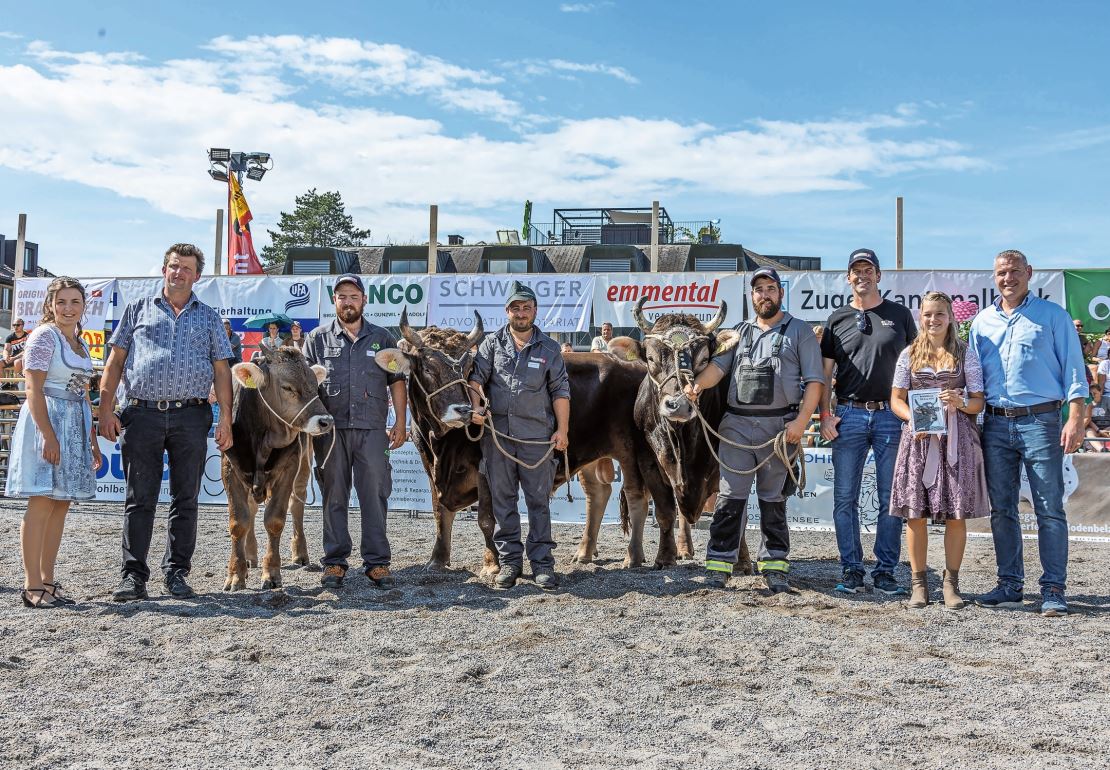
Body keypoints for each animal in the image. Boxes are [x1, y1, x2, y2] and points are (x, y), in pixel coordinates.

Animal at [220, 346, 333, 594]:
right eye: (287, 387)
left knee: (297, 504)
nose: (326, 421)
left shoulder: (289, 467)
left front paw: (271, 573)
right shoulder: (230, 468)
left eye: (315, 385)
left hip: (303, 466)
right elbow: (238, 522)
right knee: (251, 510)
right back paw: (250, 555)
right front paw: (235, 574)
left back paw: (300, 552)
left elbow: (275, 520)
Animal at [634, 299, 754, 572]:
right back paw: (683, 548)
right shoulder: (649, 462)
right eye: (651, 358)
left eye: (704, 359)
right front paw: (664, 557)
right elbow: (665, 511)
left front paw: (742, 561)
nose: (677, 405)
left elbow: (738, 512)